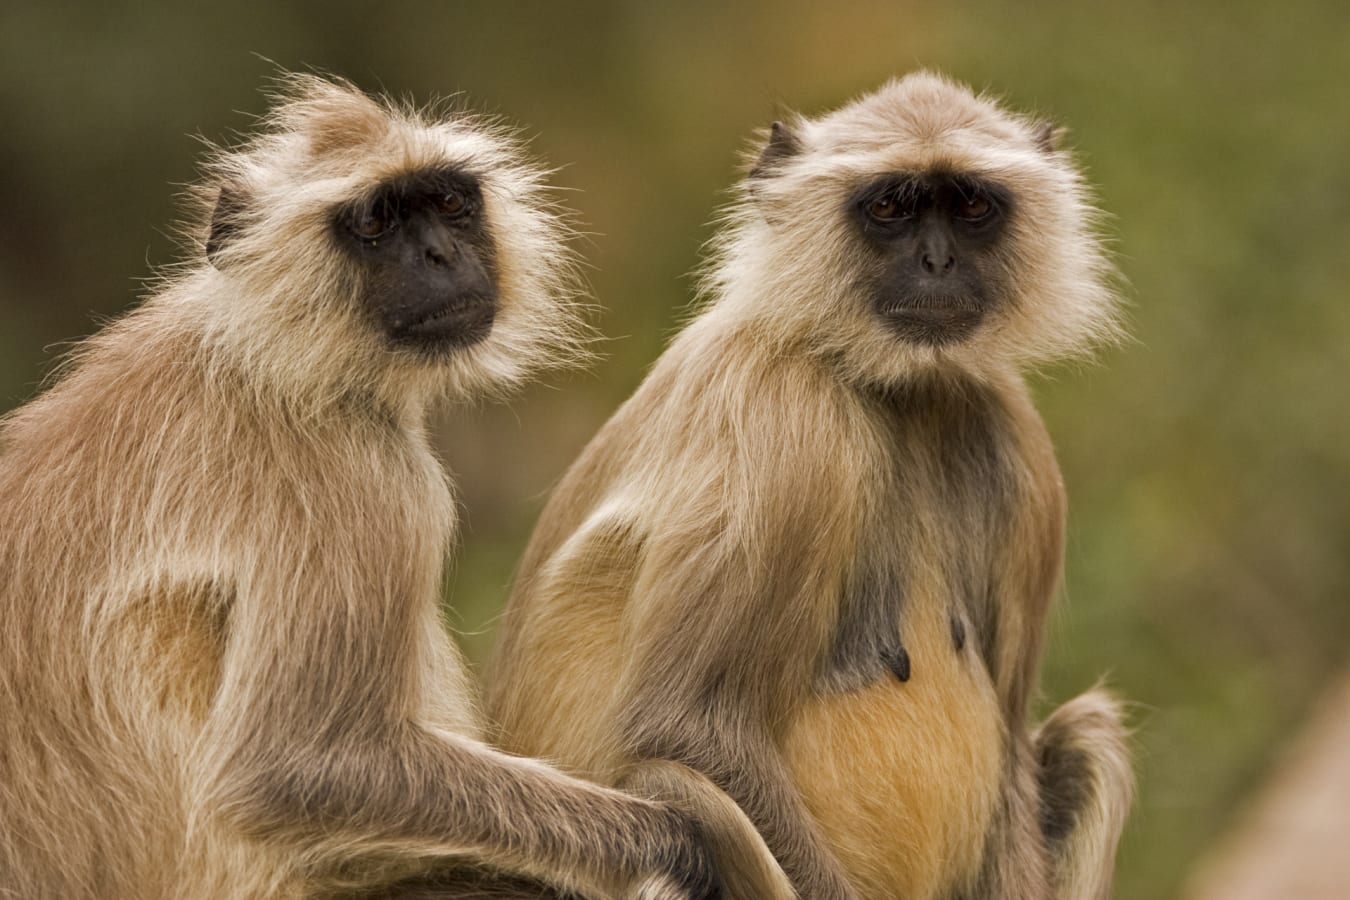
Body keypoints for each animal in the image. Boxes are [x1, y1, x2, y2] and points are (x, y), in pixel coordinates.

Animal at [0, 75, 796, 900]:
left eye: (447, 204)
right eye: (377, 221)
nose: (441, 255)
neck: (261, 352)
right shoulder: (360, 476)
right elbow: (288, 768)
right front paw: (679, 843)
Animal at [487, 72, 1133, 900]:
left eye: (969, 207)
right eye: (890, 208)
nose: (937, 263)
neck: (887, 388)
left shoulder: (1012, 432)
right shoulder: (786, 414)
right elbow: (688, 727)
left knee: (1089, 738)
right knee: (681, 793)